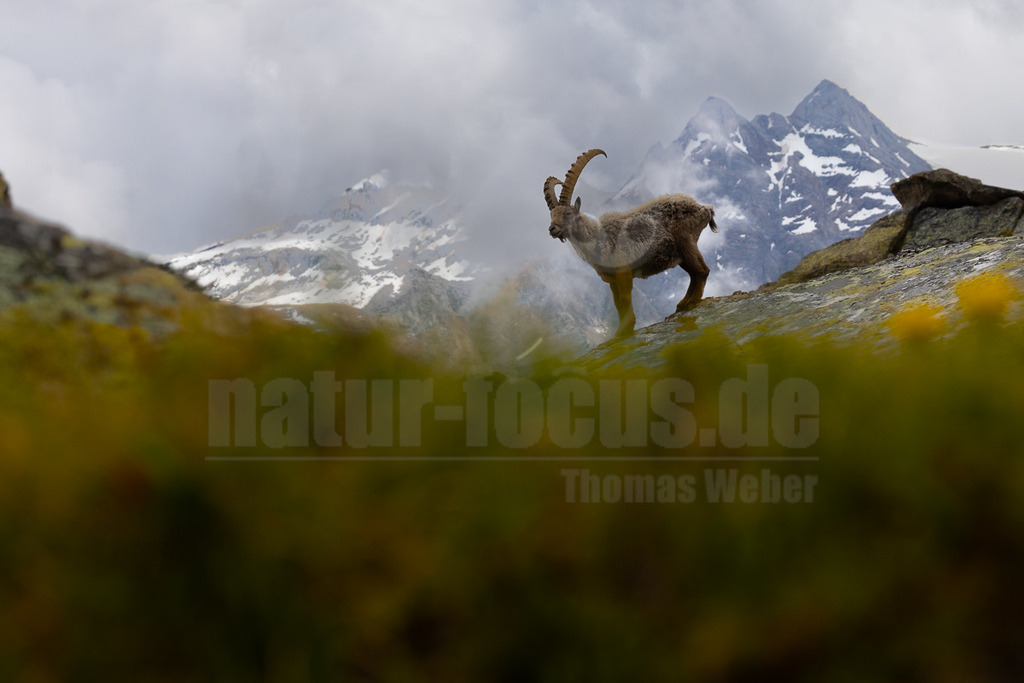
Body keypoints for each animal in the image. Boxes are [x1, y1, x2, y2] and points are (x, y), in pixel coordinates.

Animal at [544, 149, 718, 338]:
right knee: (694, 273)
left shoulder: (624, 272)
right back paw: (682, 304)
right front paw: (621, 331)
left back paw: (690, 302)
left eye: (567, 214)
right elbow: (618, 304)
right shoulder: (612, 280)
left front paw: (626, 329)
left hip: (686, 241)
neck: (596, 238)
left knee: (702, 271)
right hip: (680, 254)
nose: (552, 229)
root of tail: (704, 208)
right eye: (552, 215)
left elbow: (625, 301)